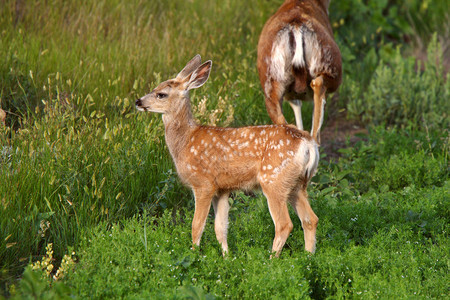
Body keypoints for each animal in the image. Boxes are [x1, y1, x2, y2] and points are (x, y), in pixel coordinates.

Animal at [135, 55, 318, 256]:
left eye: (161, 94)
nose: (138, 102)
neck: (185, 141)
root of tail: (308, 144)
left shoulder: (204, 183)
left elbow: (197, 226)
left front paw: (194, 255)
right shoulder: (222, 189)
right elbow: (220, 228)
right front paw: (226, 257)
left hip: (274, 180)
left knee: (285, 224)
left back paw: (271, 259)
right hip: (297, 183)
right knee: (310, 219)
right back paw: (308, 257)